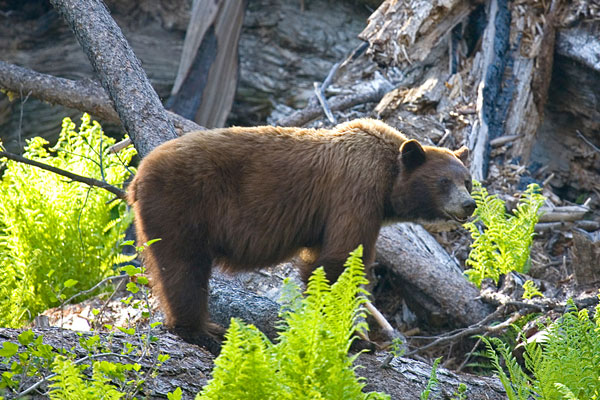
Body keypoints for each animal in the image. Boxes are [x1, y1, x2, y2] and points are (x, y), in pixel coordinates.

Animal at [126, 118, 474, 344]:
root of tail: (137, 176)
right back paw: (202, 330)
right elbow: (341, 260)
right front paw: (355, 336)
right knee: (183, 267)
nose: (469, 204)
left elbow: (321, 262)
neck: (389, 178)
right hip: (181, 203)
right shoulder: (356, 190)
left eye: (467, 181)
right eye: (444, 182)